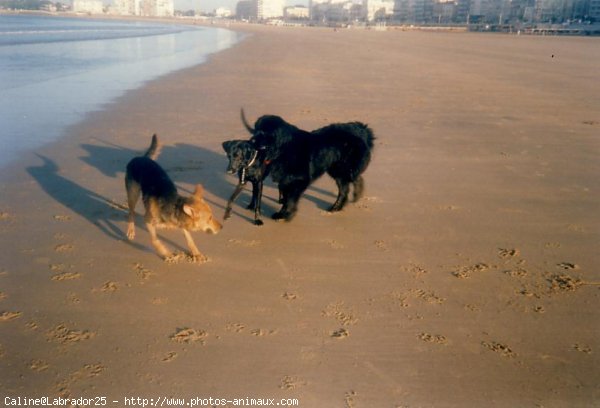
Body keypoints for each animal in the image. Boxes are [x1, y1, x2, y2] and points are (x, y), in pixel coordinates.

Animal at [240, 110, 372, 222]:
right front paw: (283, 212)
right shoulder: (285, 180)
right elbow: (286, 196)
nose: (250, 141)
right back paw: (337, 207)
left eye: (263, 132)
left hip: (342, 168)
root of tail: (362, 129)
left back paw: (354, 196)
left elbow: (290, 199)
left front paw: (285, 214)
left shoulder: (299, 179)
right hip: (337, 169)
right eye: (255, 130)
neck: (284, 149)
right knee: (346, 188)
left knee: (353, 180)